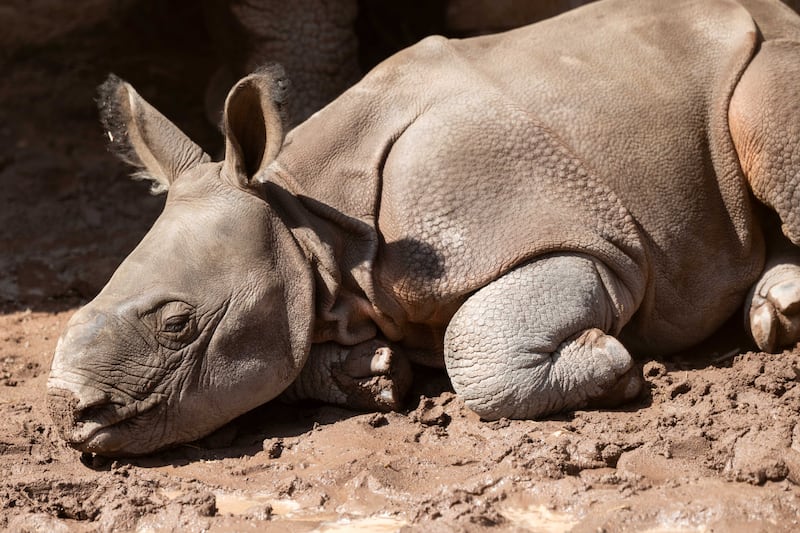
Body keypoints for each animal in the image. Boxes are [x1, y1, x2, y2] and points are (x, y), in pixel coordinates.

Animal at [48, 0, 800, 456]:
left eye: (178, 324)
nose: (65, 411)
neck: (312, 222)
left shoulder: (587, 243)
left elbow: (475, 341)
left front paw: (611, 364)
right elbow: (296, 347)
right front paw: (372, 373)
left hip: (767, 62)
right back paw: (778, 308)